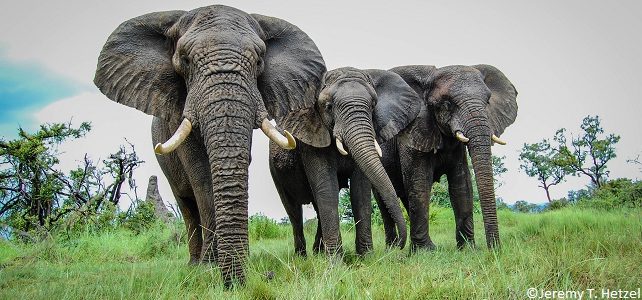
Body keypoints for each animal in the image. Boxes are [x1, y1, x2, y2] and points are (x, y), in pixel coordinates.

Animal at [92, 4, 324, 286]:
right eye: (185, 60)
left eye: (259, 61)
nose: (263, 276)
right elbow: (202, 175)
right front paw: (209, 267)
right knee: (186, 205)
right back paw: (194, 264)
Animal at [270, 67, 420, 255]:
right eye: (328, 107)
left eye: (373, 106)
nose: (398, 246)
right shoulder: (312, 138)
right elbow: (328, 187)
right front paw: (335, 260)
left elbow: (360, 189)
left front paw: (366, 257)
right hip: (275, 171)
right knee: (293, 210)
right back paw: (302, 256)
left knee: (316, 207)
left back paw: (318, 253)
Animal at [376, 65, 516, 251]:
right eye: (447, 105)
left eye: (488, 102)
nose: (494, 250)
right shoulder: (412, 133)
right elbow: (420, 183)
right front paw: (425, 252)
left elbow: (462, 184)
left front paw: (467, 249)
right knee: (384, 201)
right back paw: (392, 249)